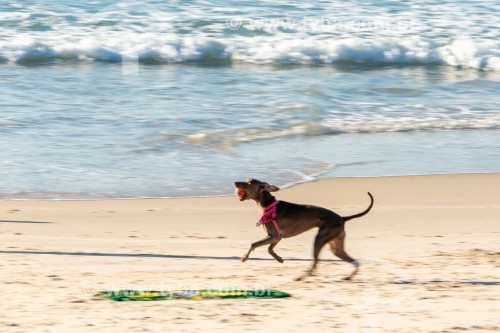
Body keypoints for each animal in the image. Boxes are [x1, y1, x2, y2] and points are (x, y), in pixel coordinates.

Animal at [233, 178, 372, 278]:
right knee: (355, 261)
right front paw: (279, 259)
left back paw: (302, 277)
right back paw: (349, 276)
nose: (234, 182)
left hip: (320, 239)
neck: (269, 205)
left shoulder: (273, 236)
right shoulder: (277, 237)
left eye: (249, 182)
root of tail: (342, 218)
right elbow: (269, 249)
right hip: (336, 246)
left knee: (315, 264)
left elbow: (253, 244)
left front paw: (244, 257)